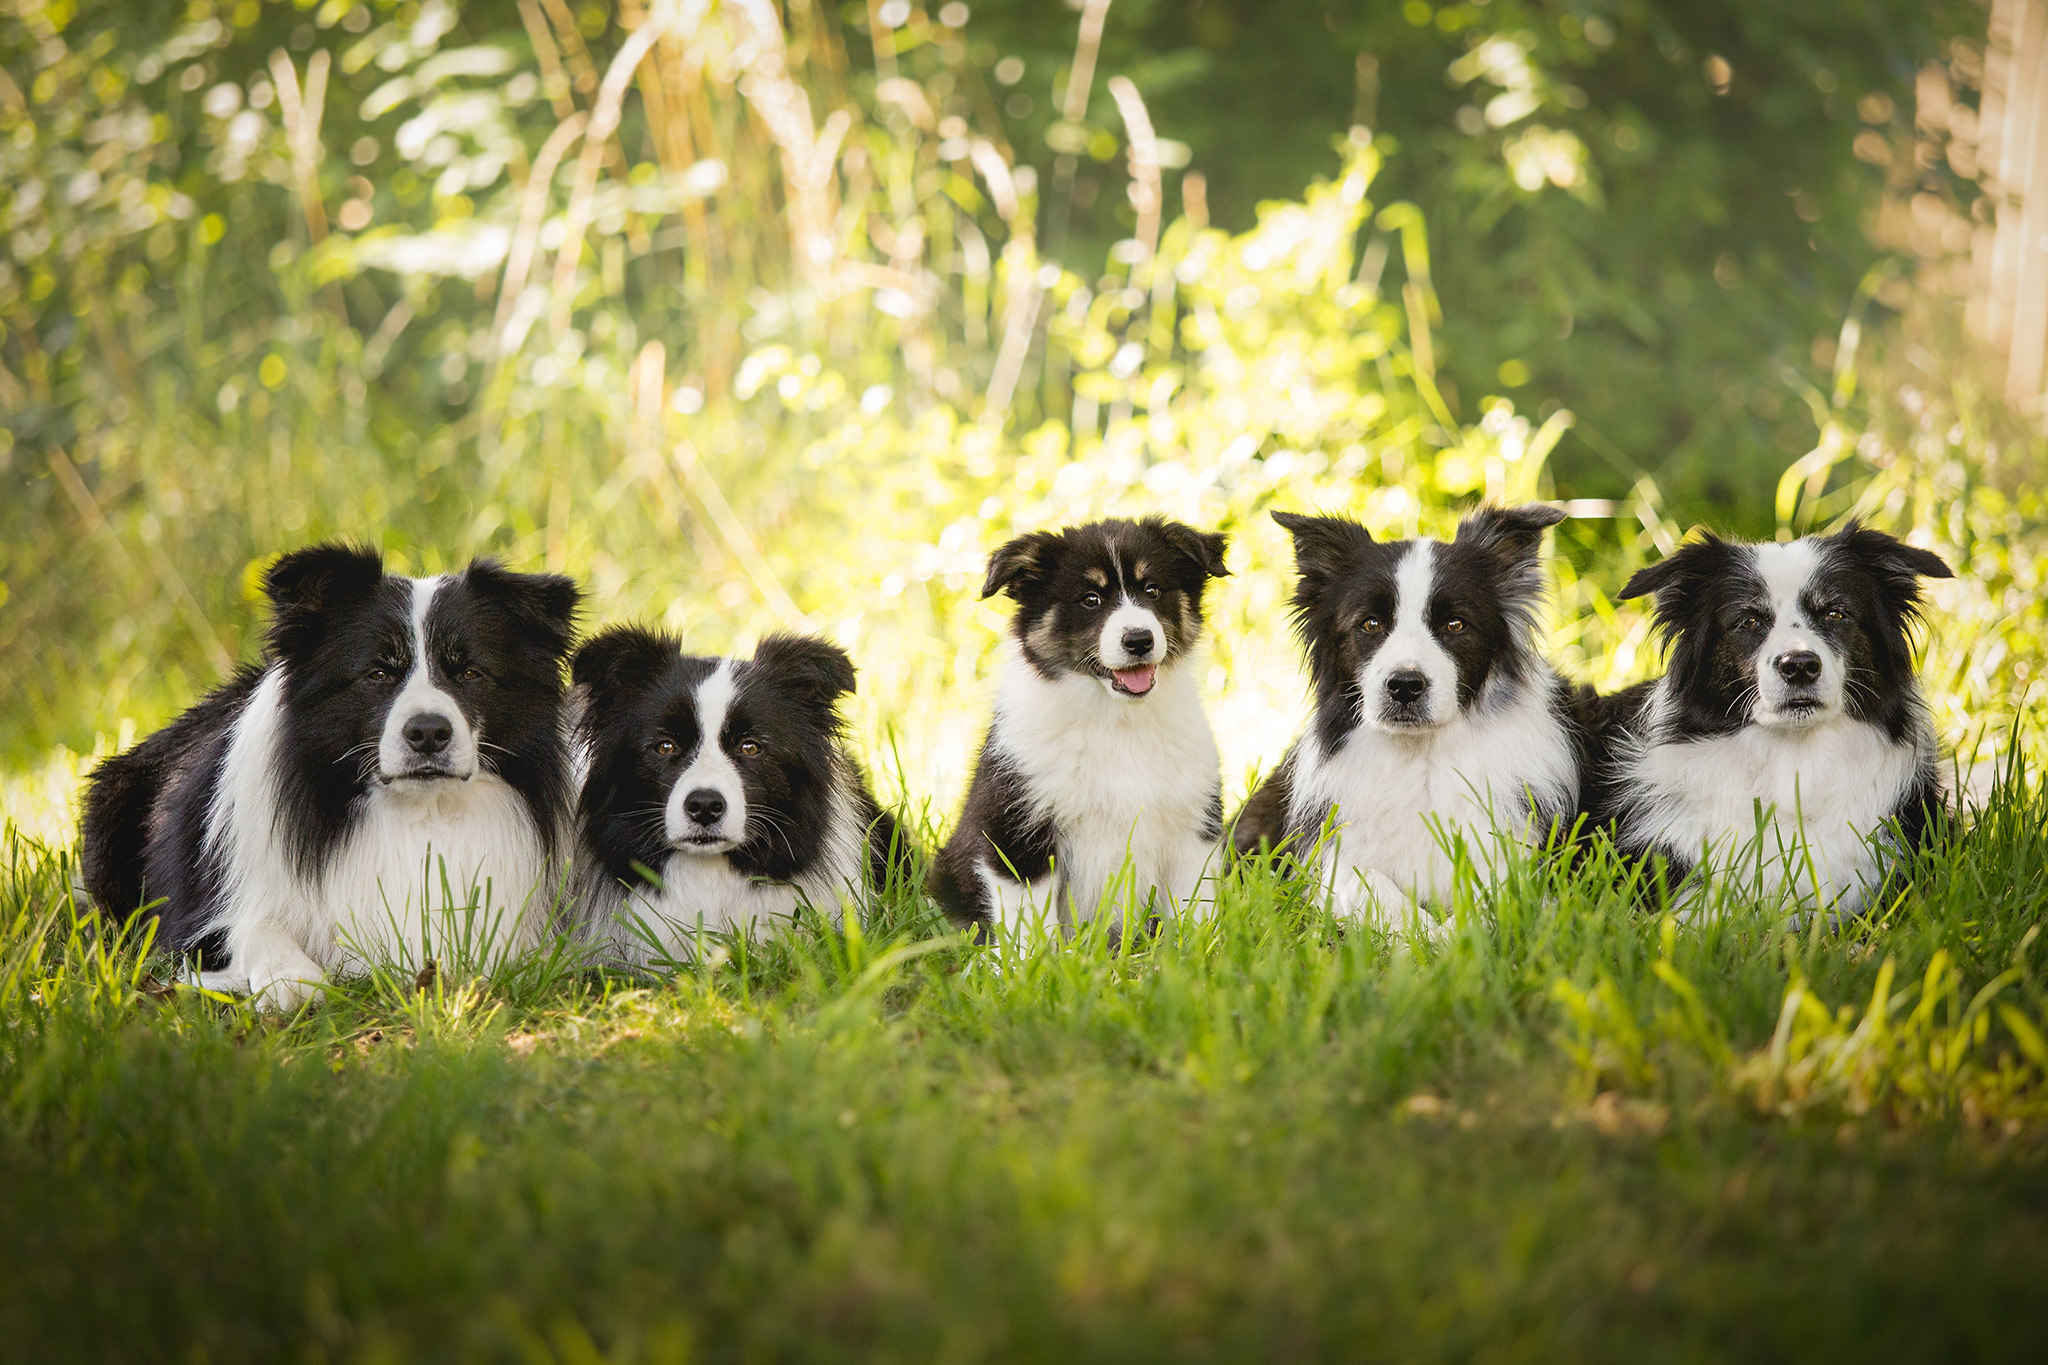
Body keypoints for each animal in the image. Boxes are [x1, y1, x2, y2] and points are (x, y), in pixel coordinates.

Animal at [79, 540, 577, 1002]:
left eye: (471, 672)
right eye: (378, 673)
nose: (428, 732)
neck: (419, 812)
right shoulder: (205, 918)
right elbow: (255, 928)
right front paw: (291, 980)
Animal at [933, 515, 1228, 941]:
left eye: (1153, 590)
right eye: (1091, 599)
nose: (1139, 640)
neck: (1116, 719)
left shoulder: (1193, 827)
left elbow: (1195, 909)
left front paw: (1201, 950)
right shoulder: (1015, 829)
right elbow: (1029, 923)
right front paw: (1034, 960)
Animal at [1228, 505, 1581, 929]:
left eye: (1455, 624)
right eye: (1369, 623)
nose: (1405, 686)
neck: (1420, 759)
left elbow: (1490, 901)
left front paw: (1448, 936)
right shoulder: (1337, 856)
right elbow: (1370, 884)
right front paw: (1422, 934)